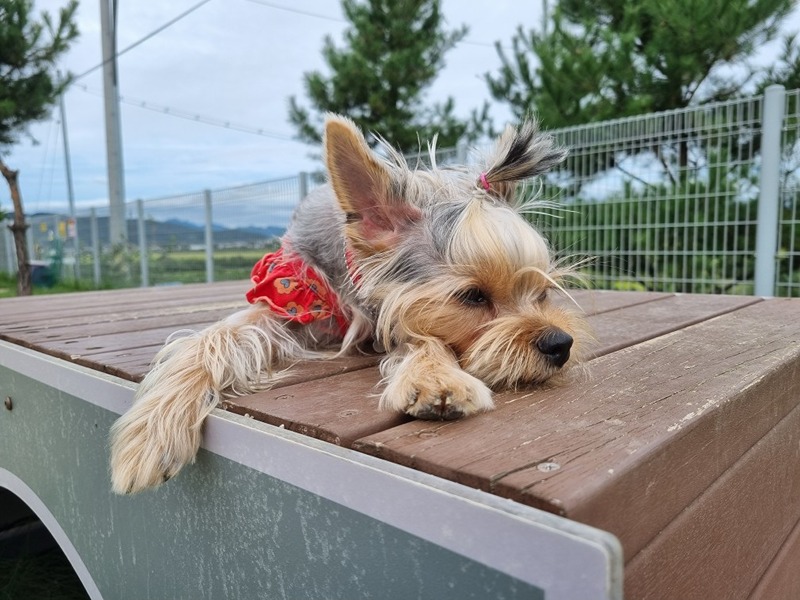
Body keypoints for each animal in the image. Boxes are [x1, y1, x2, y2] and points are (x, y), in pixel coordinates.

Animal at [109, 115, 588, 494]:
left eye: (541, 292)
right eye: (472, 296)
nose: (559, 344)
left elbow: (418, 338)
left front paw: (435, 375)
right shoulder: (287, 296)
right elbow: (210, 341)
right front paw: (150, 436)